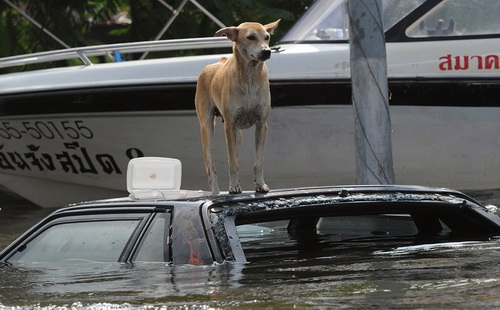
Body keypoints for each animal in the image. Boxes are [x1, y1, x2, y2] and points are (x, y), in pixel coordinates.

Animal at [195, 19, 282, 194]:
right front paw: (234, 186)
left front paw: (260, 184)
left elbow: (258, 161)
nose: (267, 51)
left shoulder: (262, 124)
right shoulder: (229, 125)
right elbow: (232, 163)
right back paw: (215, 192)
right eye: (250, 37)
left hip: (238, 135)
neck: (250, 78)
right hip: (207, 129)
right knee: (211, 167)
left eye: (267, 37)